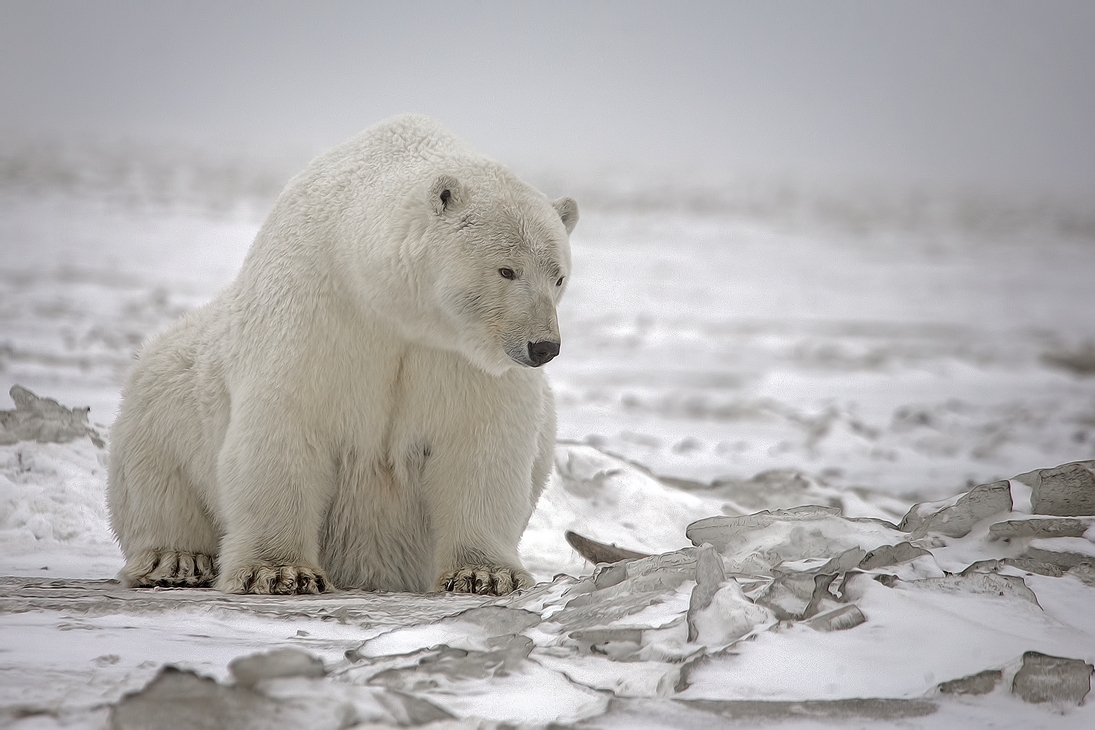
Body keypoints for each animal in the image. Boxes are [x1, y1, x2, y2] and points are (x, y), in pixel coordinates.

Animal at [106, 112, 578, 595]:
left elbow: (480, 446)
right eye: (507, 270)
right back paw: (178, 559)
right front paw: (280, 572)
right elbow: (286, 427)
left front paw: (486, 573)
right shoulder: (318, 311)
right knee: (155, 476)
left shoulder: (461, 357)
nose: (543, 346)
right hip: (167, 394)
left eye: (558, 276)